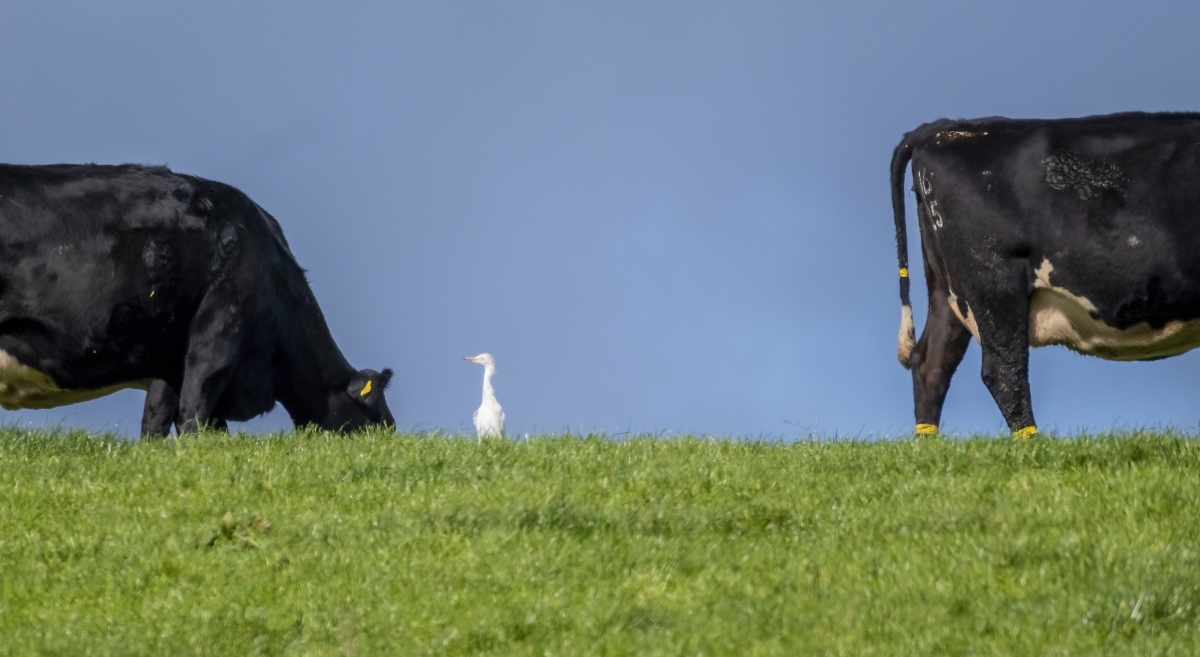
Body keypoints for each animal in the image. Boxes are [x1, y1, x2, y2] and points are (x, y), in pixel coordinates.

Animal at [0, 163, 395, 437]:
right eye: (376, 415)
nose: (392, 435)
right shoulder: (219, 329)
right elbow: (194, 413)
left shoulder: (171, 351)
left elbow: (159, 418)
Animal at [892, 111, 1200, 438]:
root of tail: (945, 127)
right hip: (994, 278)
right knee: (1003, 369)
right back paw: (1033, 442)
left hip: (946, 286)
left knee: (932, 362)